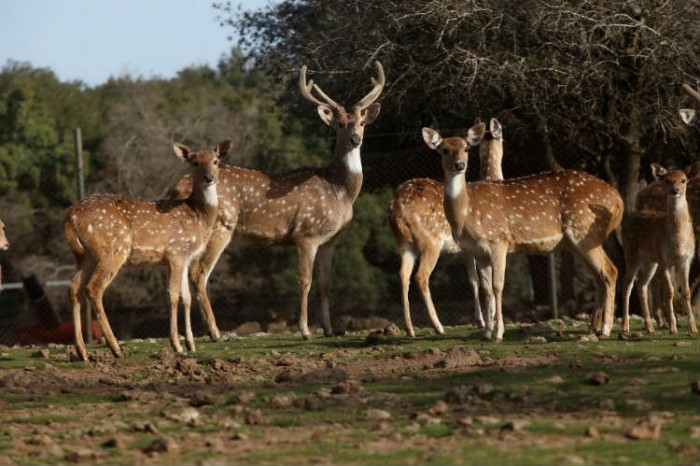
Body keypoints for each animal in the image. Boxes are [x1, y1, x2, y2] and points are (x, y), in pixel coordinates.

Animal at [61, 139, 228, 360]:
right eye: (194, 163)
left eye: (216, 160)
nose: (209, 178)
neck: (199, 217)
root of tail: (70, 217)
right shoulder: (175, 252)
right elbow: (173, 295)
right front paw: (177, 345)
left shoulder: (185, 257)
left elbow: (186, 297)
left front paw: (191, 344)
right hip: (113, 248)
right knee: (93, 288)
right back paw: (115, 348)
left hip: (84, 256)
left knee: (74, 288)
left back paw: (82, 351)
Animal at [170, 62, 386, 340]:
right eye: (339, 124)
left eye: (361, 122)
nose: (355, 138)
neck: (338, 191)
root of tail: (175, 188)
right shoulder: (306, 234)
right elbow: (305, 281)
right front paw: (305, 330)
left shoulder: (330, 240)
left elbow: (326, 283)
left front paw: (328, 329)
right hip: (221, 226)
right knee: (199, 273)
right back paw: (216, 332)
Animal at [388, 116, 504, 334]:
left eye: (467, 147)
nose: (459, 164)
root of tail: (397, 207)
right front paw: (489, 319)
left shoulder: (466, 250)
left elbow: (473, 280)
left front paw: (481, 320)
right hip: (430, 240)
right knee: (421, 276)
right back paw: (438, 326)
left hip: (404, 243)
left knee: (402, 274)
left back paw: (409, 328)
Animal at [422, 122, 624, 340]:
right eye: (444, 149)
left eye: (466, 148)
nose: (459, 165)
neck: (466, 215)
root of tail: (618, 199)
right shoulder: (478, 252)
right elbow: (486, 289)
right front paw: (486, 332)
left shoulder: (498, 241)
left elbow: (498, 286)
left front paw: (498, 333)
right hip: (574, 242)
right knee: (599, 276)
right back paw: (592, 329)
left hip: (585, 230)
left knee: (610, 270)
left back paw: (605, 329)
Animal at [620, 164, 696, 334]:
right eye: (667, 180)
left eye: (684, 180)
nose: (675, 190)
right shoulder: (664, 260)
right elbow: (669, 291)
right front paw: (673, 327)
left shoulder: (686, 260)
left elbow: (686, 292)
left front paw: (693, 328)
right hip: (631, 253)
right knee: (627, 285)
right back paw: (626, 327)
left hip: (650, 261)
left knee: (641, 284)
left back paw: (649, 327)